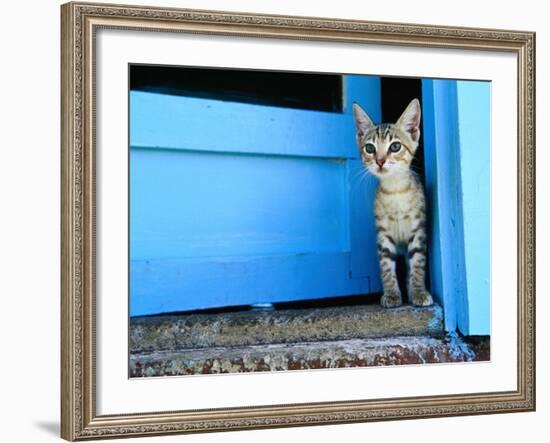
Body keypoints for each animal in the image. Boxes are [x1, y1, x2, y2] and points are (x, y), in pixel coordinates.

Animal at [354, 99, 436, 308]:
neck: (395, 191)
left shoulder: (418, 231)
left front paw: (418, 291)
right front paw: (391, 294)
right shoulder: (383, 235)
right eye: (370, 148)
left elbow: (417, 264)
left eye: (395, 146)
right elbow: (386, 266)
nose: (380, 161)